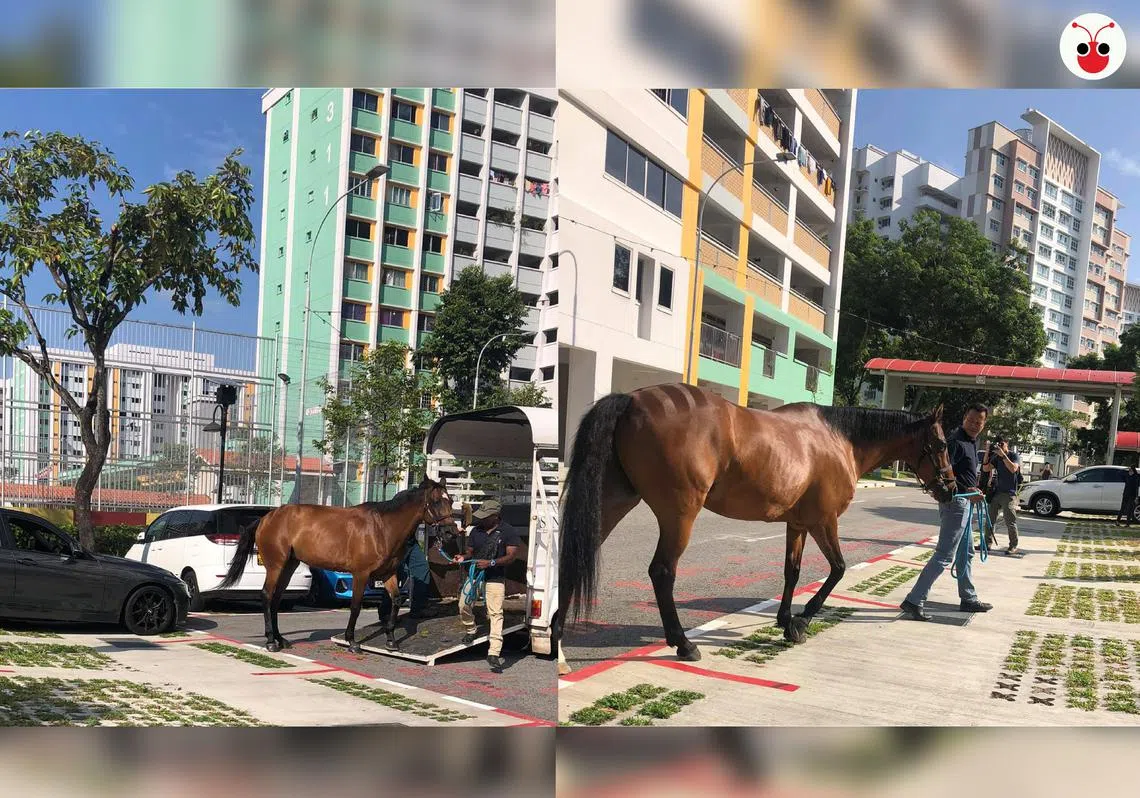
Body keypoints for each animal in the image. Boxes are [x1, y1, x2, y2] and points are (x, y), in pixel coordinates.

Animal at [219, 476, 455, 653]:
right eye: (436, 501)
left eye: (451, 500)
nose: (450, 532)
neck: (382, 528)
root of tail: (266, 518)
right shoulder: (361, 574)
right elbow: (356, 606)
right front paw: (352, 641)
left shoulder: (389, 573)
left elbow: (396, 600)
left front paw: (391, 641)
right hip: (276, 565)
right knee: (267, 596)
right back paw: (270, 641)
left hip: (289, 565)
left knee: (276, 598)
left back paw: (280, 639)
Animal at [556, 383, 956, 666]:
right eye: (940, 444)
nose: (951, 489)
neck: (839, 439)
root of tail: (632, 400)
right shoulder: (823, 521)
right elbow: (838, 569)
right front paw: (802, 621)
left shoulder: (797, 524)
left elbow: (792, 572)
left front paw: (785, 619)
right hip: (679, 514)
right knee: (662, 571)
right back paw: (683, 643)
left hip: (613, 501)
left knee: (574, 558)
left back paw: (556, 640)